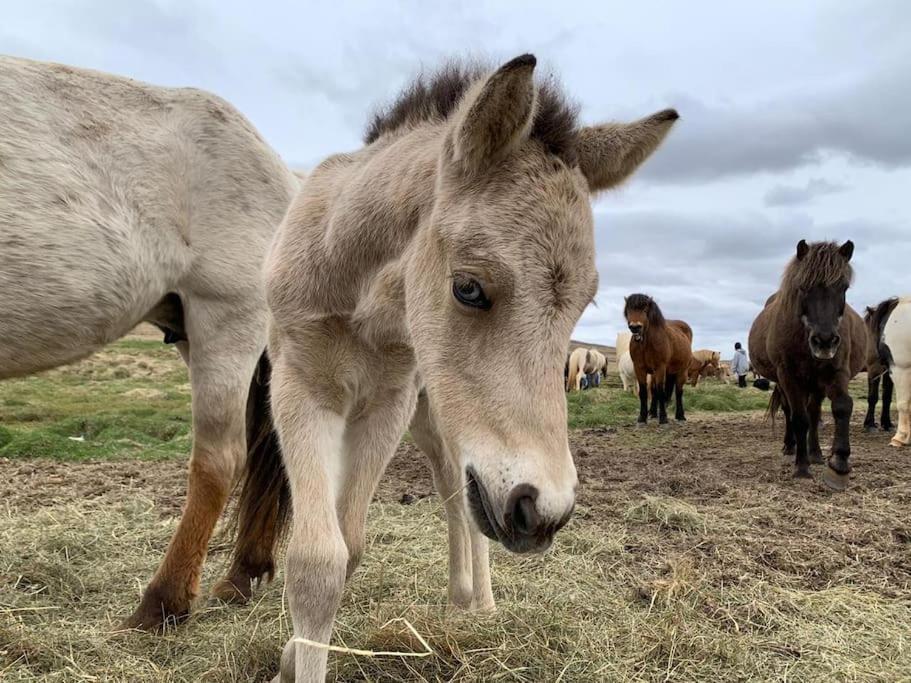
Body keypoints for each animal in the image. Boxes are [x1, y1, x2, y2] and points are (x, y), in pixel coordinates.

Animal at [235, 56, 676, 680]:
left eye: (581, 307)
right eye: (467, 288)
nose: (546, 511)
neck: (354, 287)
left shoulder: (387, 403)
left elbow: (348, 547)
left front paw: (294, 658)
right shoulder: (299, 387)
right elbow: (318, 560)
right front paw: (289, 662)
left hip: (437, 411)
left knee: (461, 499)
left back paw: (479, 603)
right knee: (457, 492)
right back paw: (462, 597)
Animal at [624, 296, 696, 424]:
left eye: (645, 310)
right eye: (629, 310)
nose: (635, 327)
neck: (646, 343)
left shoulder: (660, 368)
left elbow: (661, 391)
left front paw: (663, 418)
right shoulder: (639, 368)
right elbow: (644, 392)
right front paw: (642, 417)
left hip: (682, 371)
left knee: (678, 392)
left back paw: (680, 416)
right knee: (655, 390)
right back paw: (653, 413)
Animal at [752, 240, 864, 492]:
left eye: (843, 287)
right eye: (803, 286)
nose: (825, 341)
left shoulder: (836, 372)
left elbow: (842, 406)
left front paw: (839, 465)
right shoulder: (788, 376)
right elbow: (799, 418)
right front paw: (802, 467)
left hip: (816, 384)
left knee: (814, 412)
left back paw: (816, 453)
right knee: (790, 411)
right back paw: (790, 447)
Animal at [864, 300, 900, 432]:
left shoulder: (889, 371)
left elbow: (887, 397)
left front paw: (887, 423)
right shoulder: (874, 370)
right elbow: (873, 397)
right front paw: (869, 424)